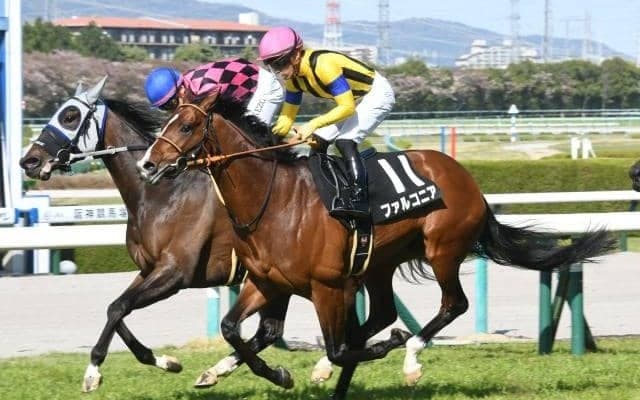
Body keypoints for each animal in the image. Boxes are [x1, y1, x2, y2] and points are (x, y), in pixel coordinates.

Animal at [137, 92, 617, 399]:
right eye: (163, 123)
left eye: (187, 124)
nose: (147, 164)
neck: (274, 201)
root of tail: (468, 181)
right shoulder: (268, 283)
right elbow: (233, 330)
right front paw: (251, 372)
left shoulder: (327, 286)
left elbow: (336, 343)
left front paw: (372, 351)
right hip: (379, 264)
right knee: (382, 313)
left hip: (442, 248)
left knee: (452, 305)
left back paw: (410, 356)